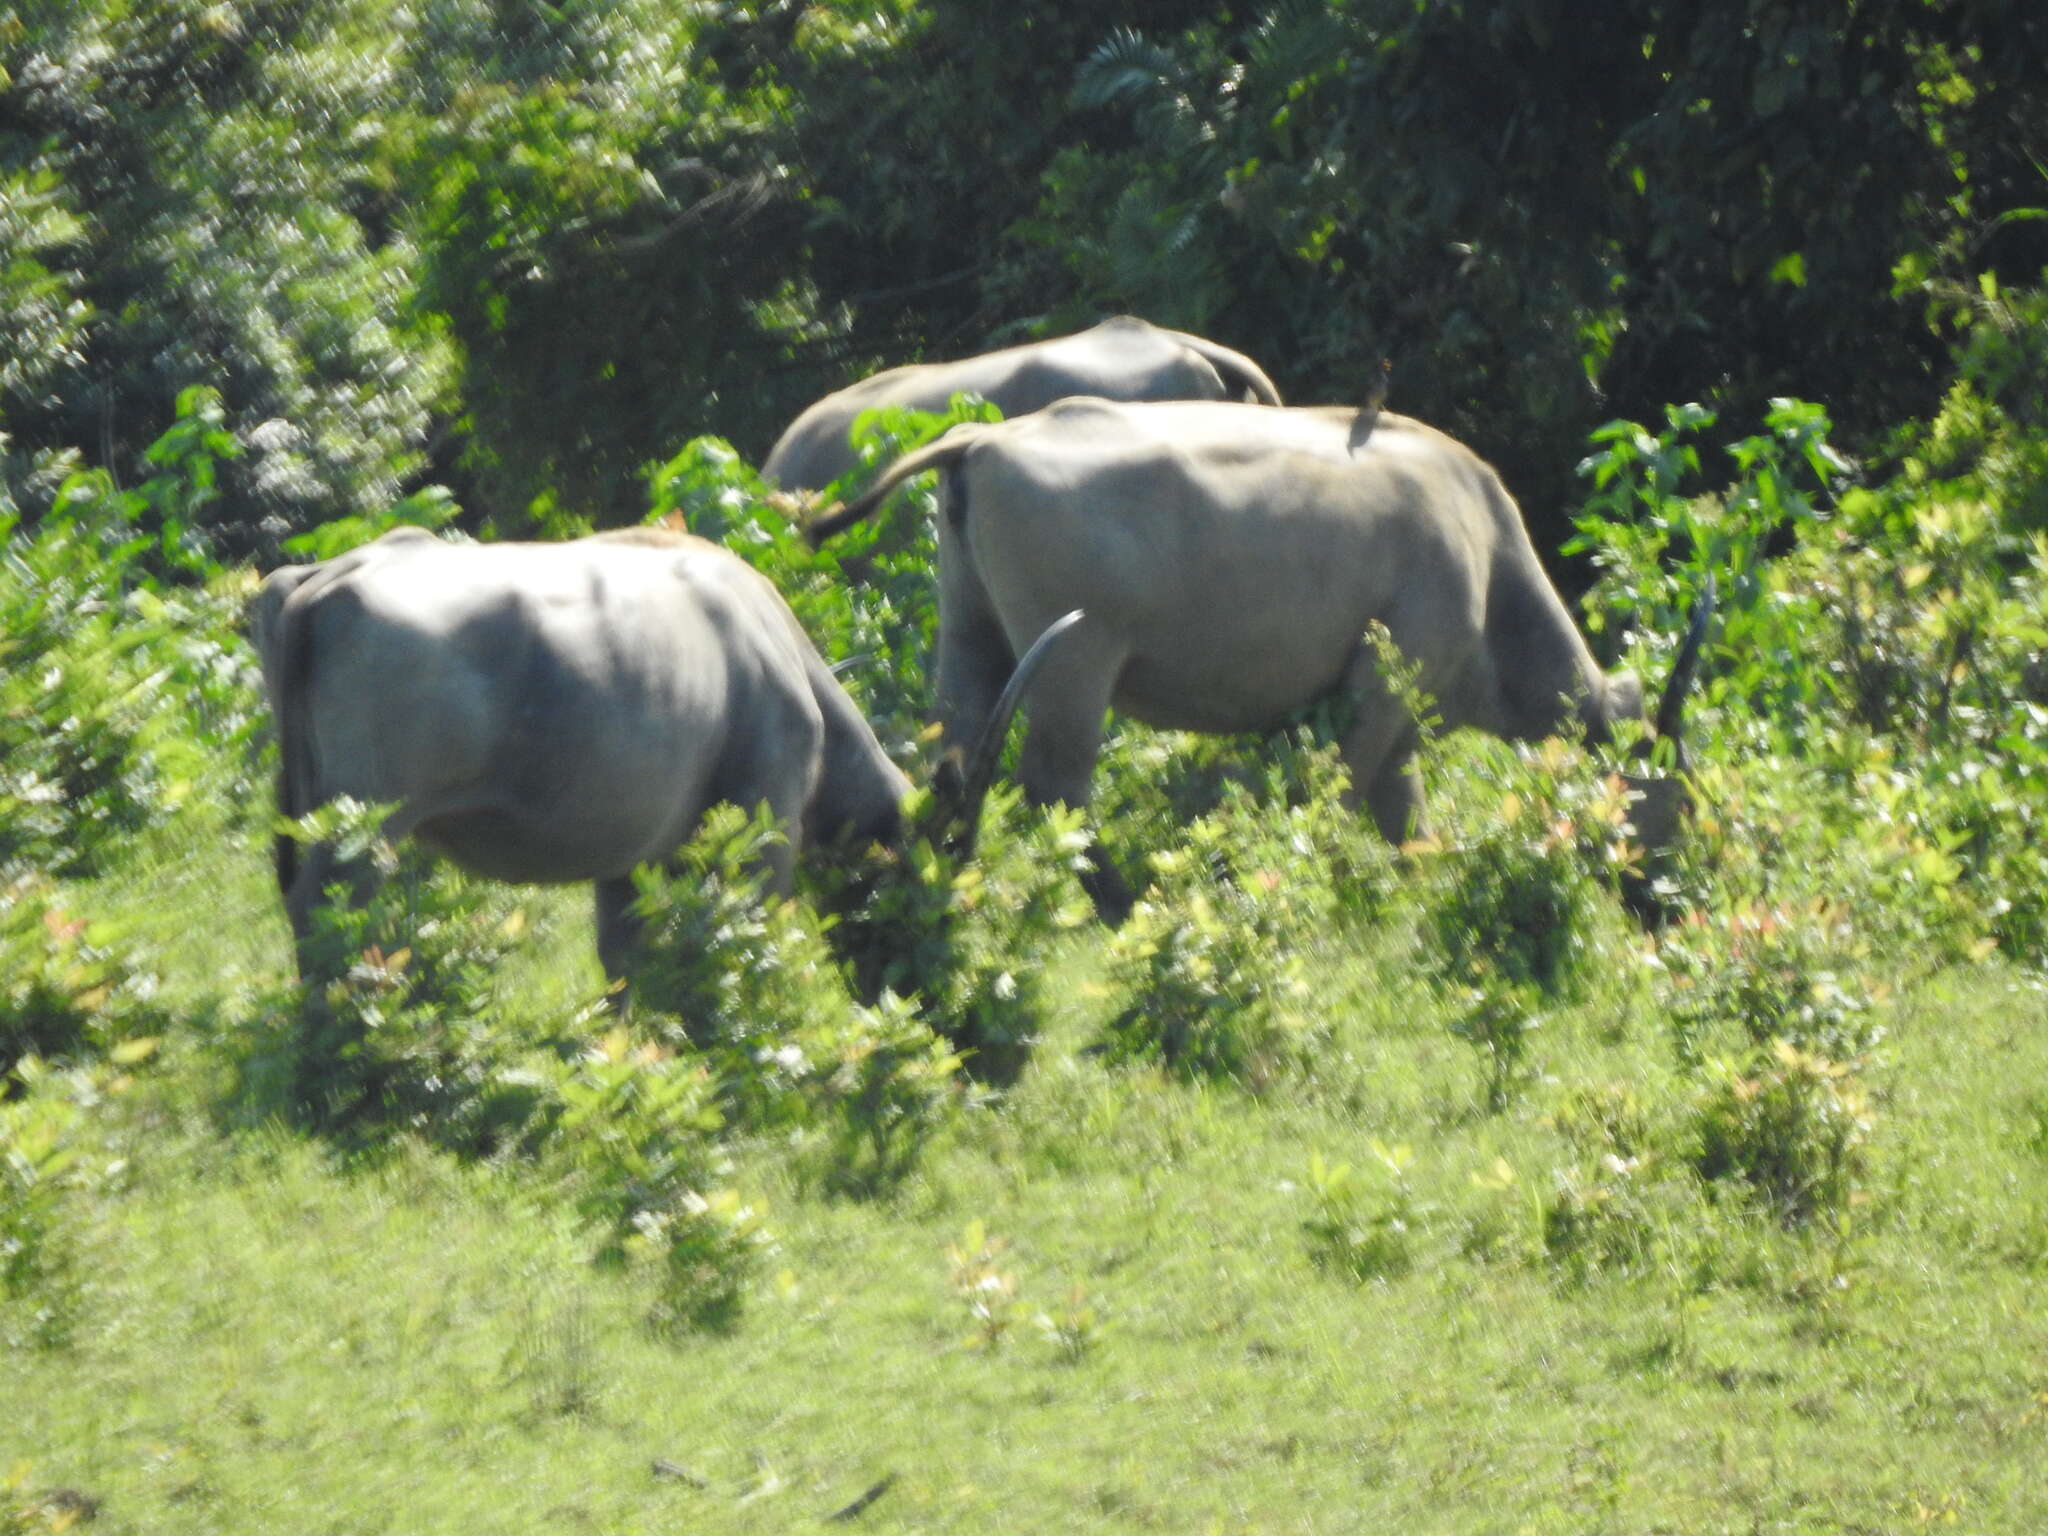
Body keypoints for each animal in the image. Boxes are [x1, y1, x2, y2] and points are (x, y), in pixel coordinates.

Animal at [256, 528, 1081, 987]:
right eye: (925, 895)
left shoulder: (628, 864)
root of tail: (329, 582)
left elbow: (625, 965)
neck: (767, 646)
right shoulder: (764, 837)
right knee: (323, 913)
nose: (921, 998)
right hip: (370, 830)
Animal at [806, 397, 1703, 872]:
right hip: (1072, 673)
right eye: (1677, 796)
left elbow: (1408, 828)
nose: (1661, 902)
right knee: (1056, 788)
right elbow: (1341, 798)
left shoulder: (1399, 734)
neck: (1483, 541)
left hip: (973, 644)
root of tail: (984, 439)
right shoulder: (1378, 697)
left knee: (950, 763)